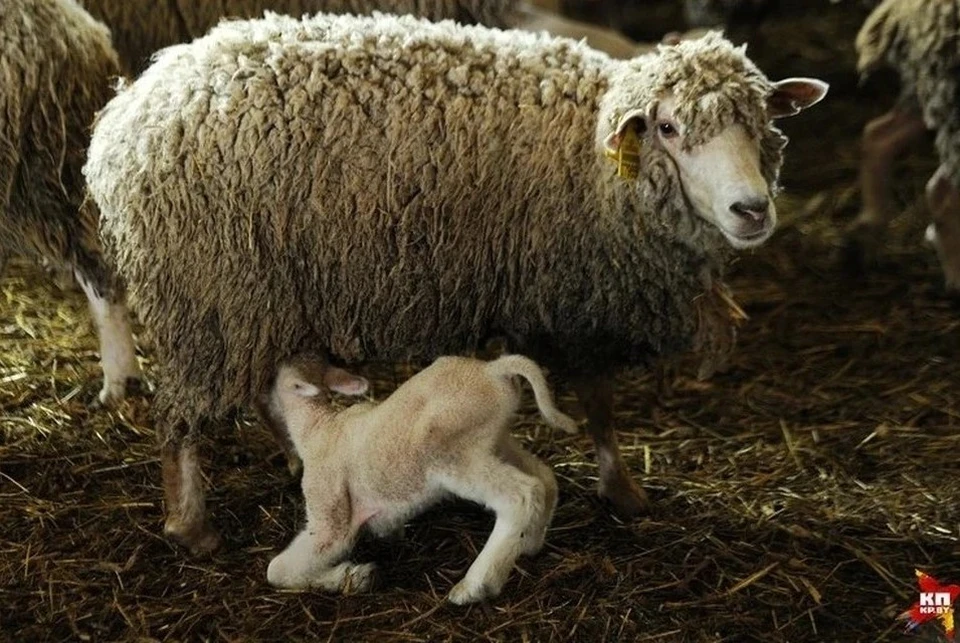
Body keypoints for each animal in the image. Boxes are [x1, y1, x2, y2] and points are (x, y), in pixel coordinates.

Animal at [86, 11, 828, 552]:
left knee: (265, 384)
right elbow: (599, 401)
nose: (752, 210)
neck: (592, 158)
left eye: (763, 125)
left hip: (254, 295)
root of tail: (127, 115)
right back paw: (192, 527)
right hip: (209, 290)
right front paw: (622, 491)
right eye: (669, 127)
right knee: (180, 416)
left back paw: (289, 459)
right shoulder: (575, 298)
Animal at [264, 354, 576, 608]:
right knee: (545, 479)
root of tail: (493, 370)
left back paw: (475, 586)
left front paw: (355, 576)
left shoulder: (329, 512)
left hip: (450, 453)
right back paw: (528, 543)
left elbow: (278, 570)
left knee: (521, 495)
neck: (318, 427)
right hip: (496, 442)